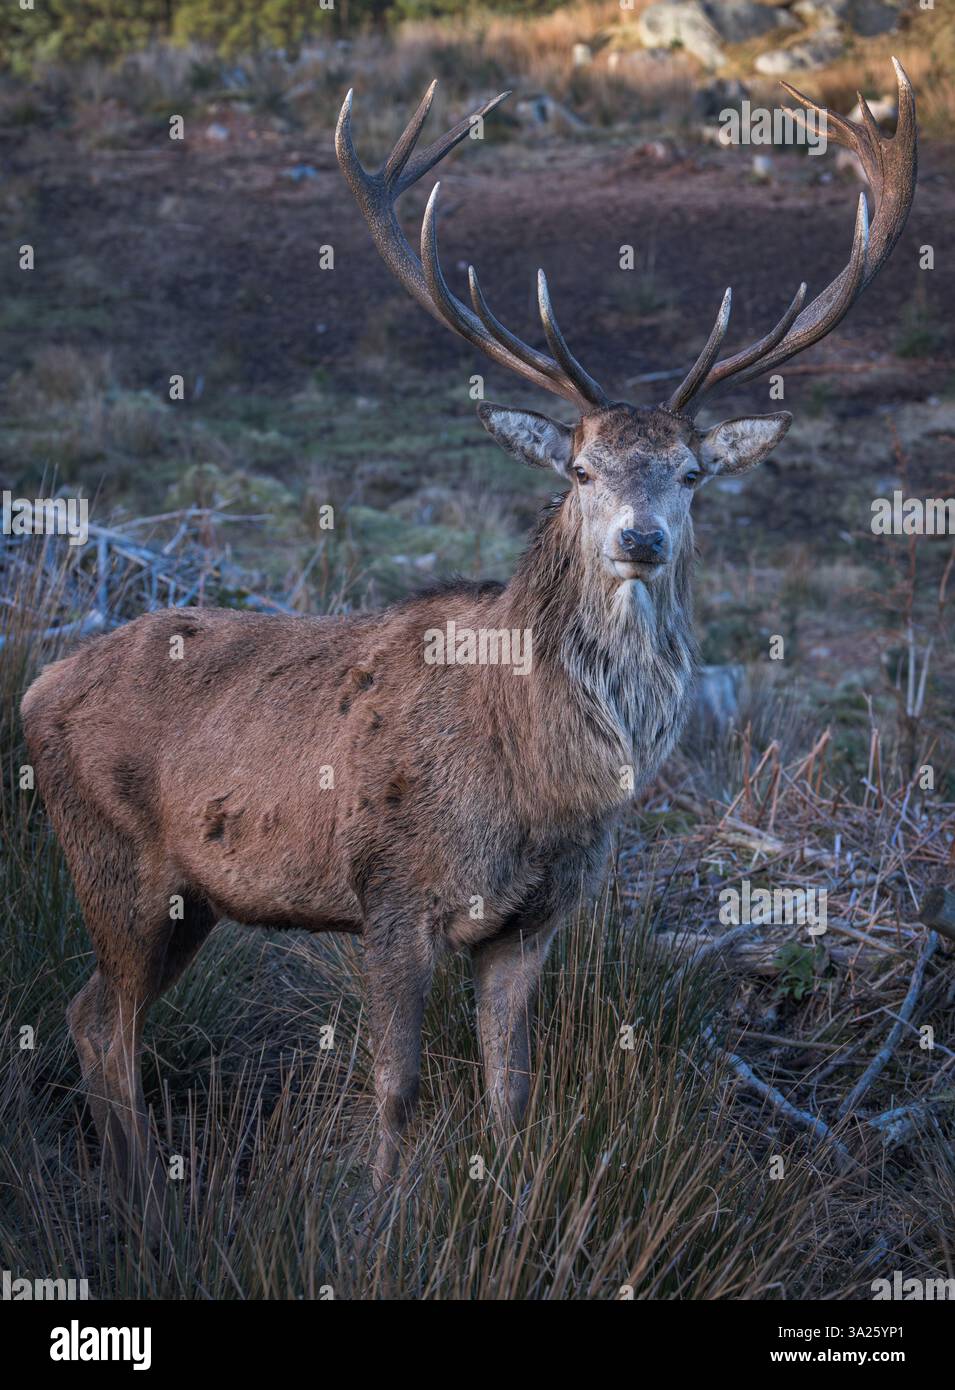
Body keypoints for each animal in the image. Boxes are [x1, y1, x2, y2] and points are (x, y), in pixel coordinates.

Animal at [21, 62, 916, 1225]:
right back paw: (144, 1203)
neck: (534, 783)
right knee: (102, 1023)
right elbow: (397, 1088)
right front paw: (377, 1225)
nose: (640, 538)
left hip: (189, 899)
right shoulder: (390, 892)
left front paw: (519, 1210)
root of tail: (36, 687)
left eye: (690, 472)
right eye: (578, 469)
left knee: (90, 1014)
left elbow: (511, 1089)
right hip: (114, 863)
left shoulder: (534, 920)